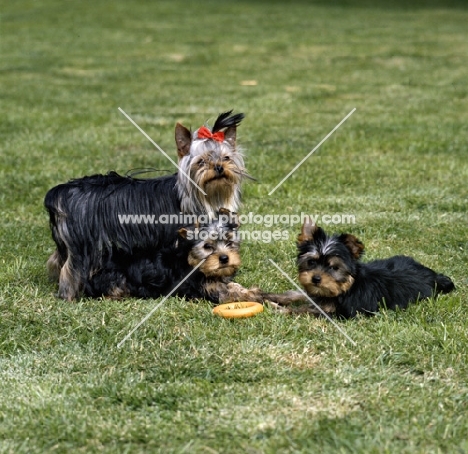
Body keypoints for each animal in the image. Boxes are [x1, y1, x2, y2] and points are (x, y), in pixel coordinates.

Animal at [44, 110, 249, 302]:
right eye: (201, 161)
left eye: (226, 158)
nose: (219, 167)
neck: (205, 196)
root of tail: (61, 191)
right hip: (83, 244)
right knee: (71, 269)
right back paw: (69, 295)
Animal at [84, 210, 266, 306]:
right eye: (207, 246)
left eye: (229, 242)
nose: (224, 258)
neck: (195, 264)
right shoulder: (205, 290)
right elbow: (232, 295)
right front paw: (258, 296)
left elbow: (235, 287)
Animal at [276, 218, 456, 318]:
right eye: (311, 262)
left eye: (334, 268)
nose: (316, 278)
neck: (347, 287)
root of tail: (433, 275)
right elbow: (300, 295)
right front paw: (276, 298)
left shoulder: (341, 312)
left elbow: (307, 310)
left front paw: (282, 310)